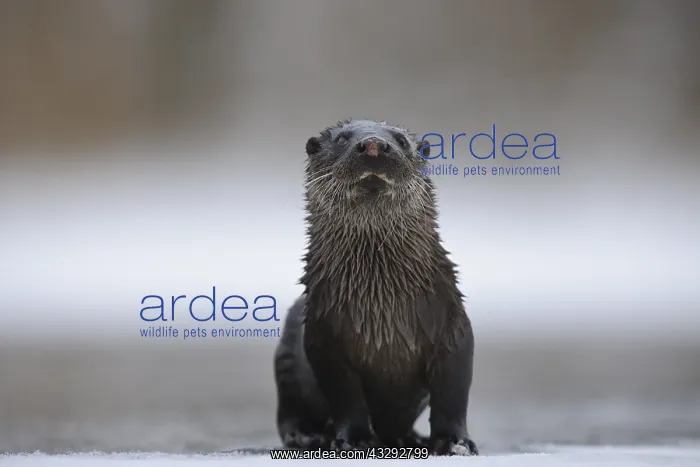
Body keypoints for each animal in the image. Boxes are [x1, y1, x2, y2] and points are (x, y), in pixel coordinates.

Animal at [273, 119, 478, 456]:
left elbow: (453, 393)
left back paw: (411, 439)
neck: (382, 310)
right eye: (342, 139)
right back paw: (309, 436)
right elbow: (345, 395)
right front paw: (353, 440)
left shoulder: (452, 324)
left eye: (401, 141)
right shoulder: (324, 335)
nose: (373, 145)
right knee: (289, 416)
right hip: (287, 360)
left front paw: (454, 442)